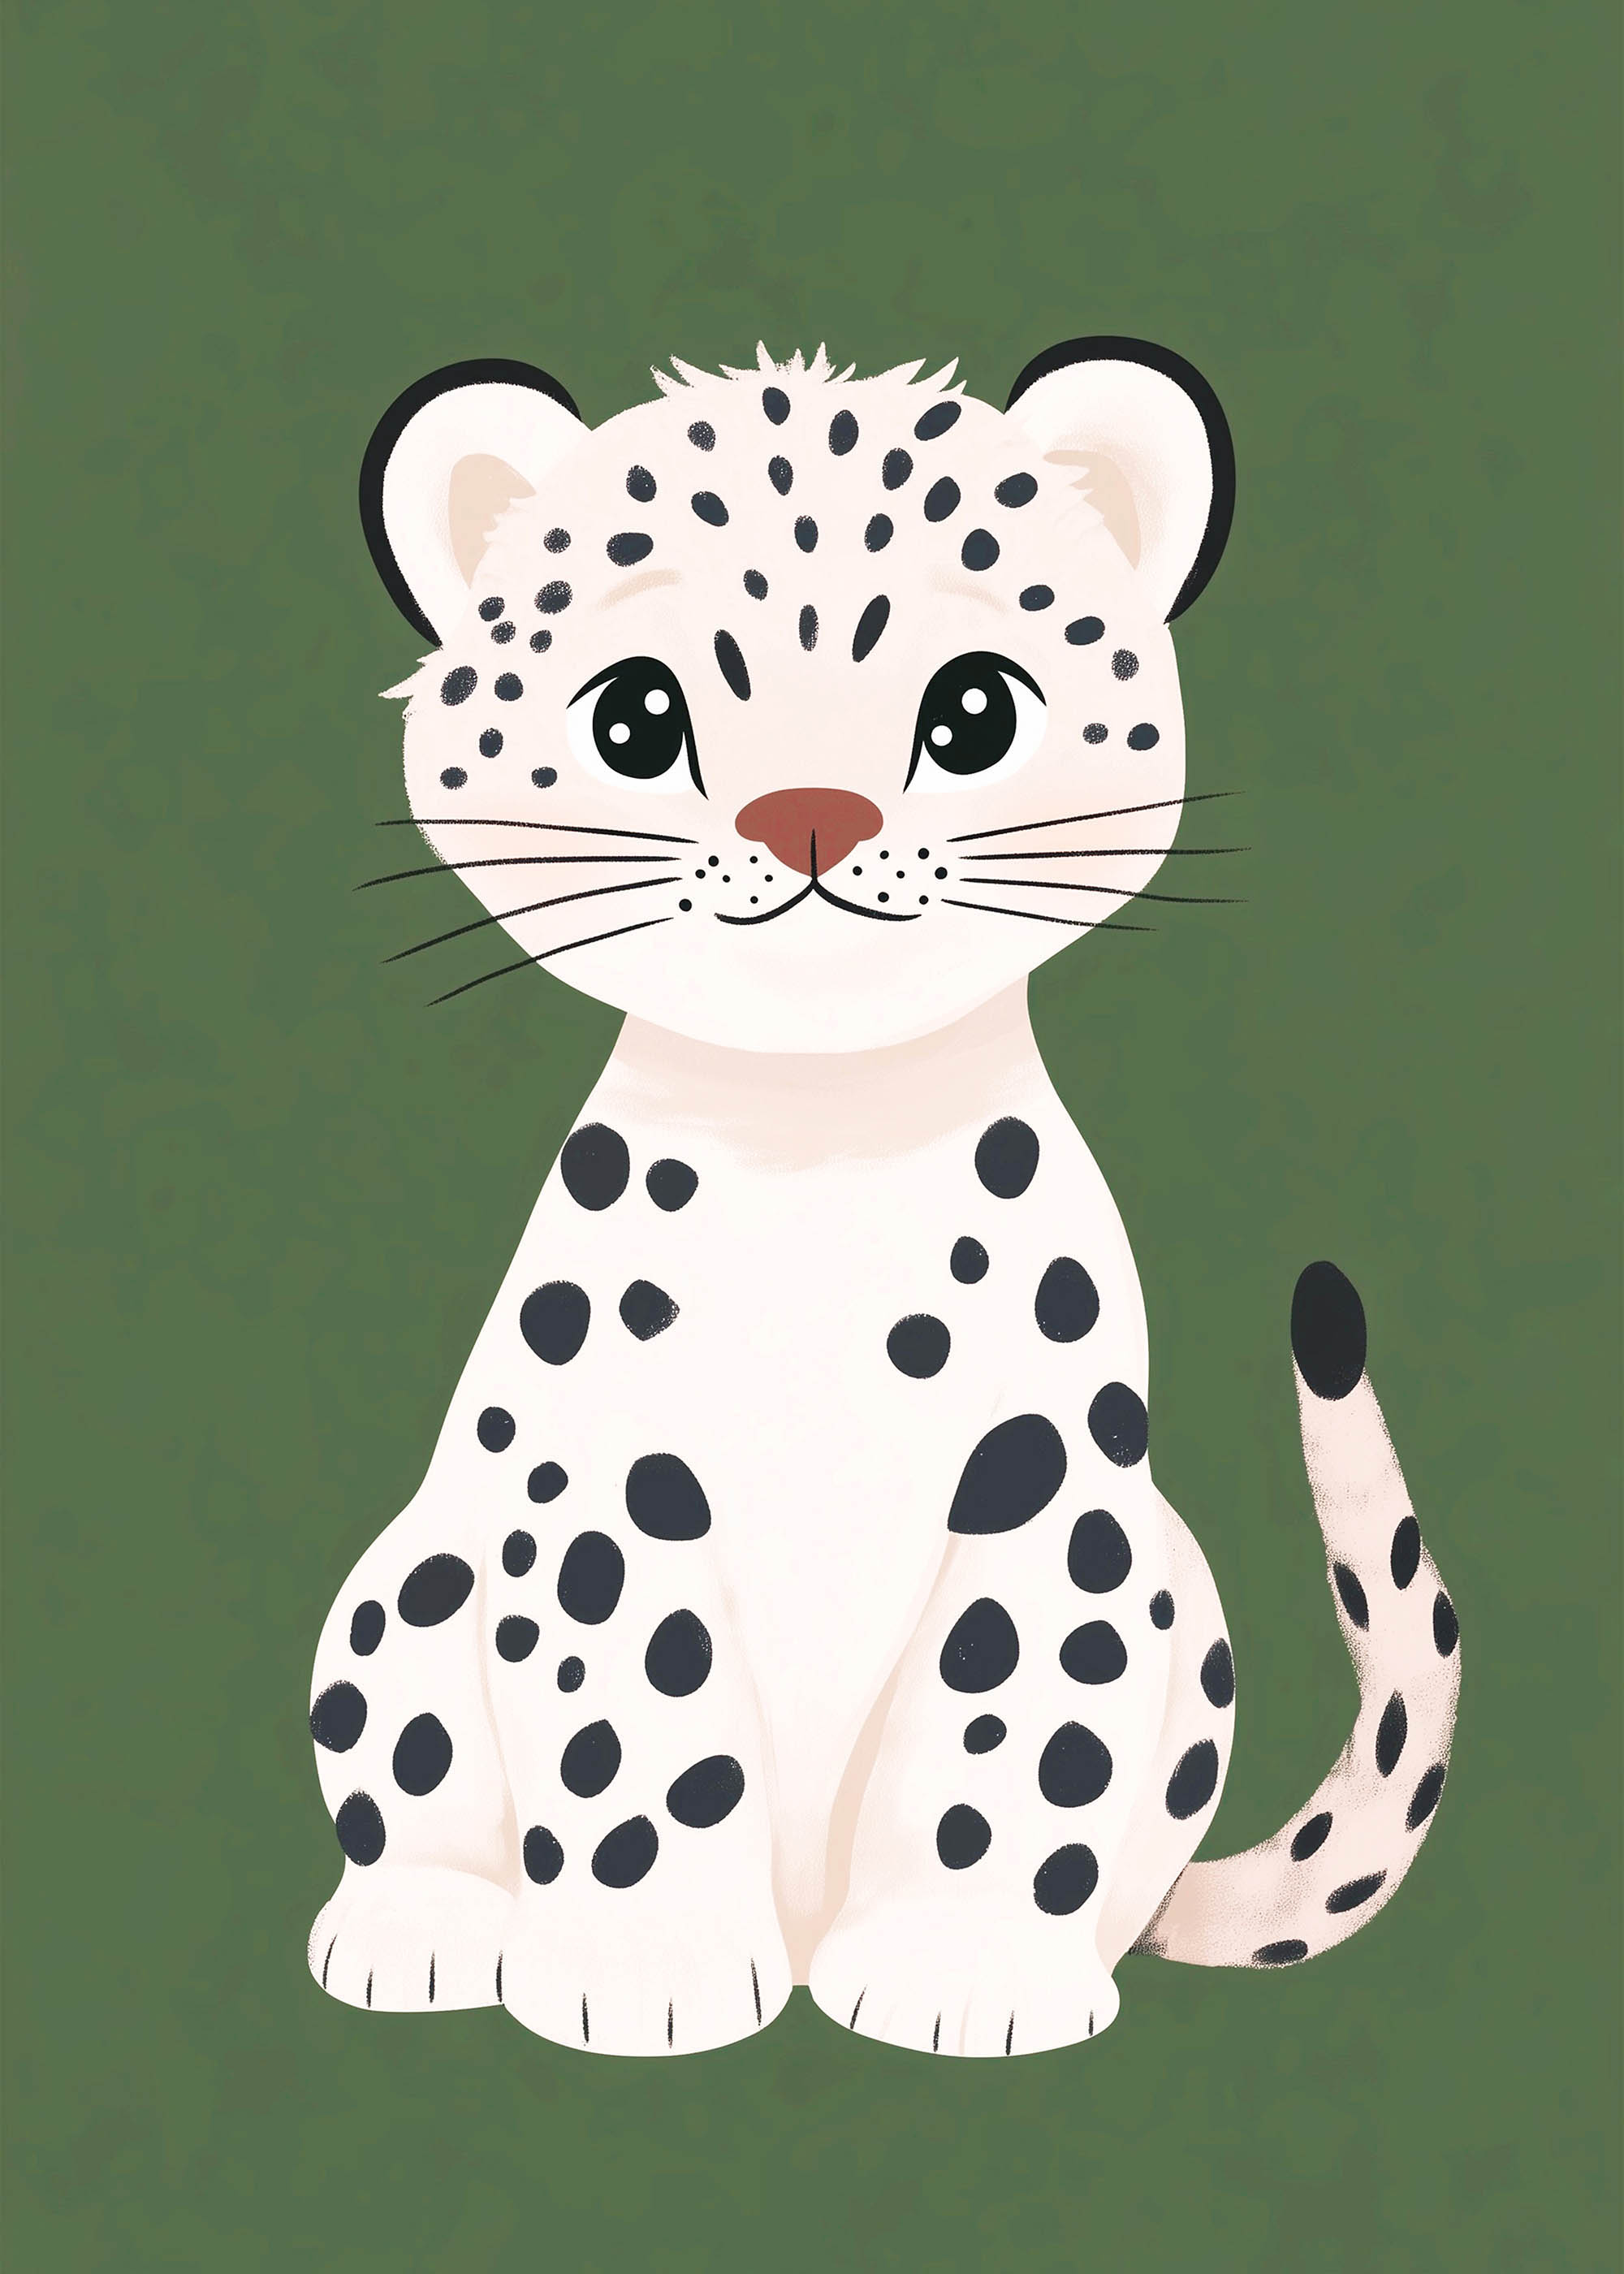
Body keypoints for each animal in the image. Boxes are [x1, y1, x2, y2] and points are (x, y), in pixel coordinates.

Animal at [302, 337, 1461, 2058]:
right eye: (636, 718)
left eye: (972, 710)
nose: (811, 818)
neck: (819, 1143)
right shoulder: (599, 1484)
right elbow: (629, 1728)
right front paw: (642, 1969)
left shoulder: (1046, 1491)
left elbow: (1017, 1732)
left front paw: (960, 1974)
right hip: (420, 1569)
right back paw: (424, 1931)